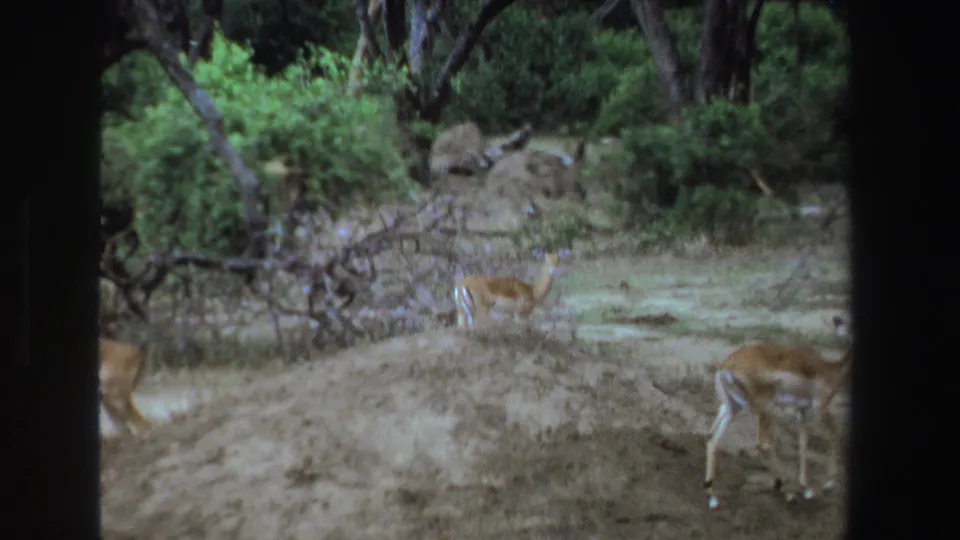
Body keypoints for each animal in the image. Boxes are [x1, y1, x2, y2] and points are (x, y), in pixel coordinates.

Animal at [704, 316, 853, 509]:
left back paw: (712, 496)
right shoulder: (822, 408)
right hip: (765, 409)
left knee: (712, 439)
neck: (831, 370)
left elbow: (803, 443)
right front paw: (829, 483)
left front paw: (807, 488)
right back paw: (785, 491)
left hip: (732, 407)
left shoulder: (800, 410)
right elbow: (835, 438)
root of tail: (726, 366)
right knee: (762, 443)